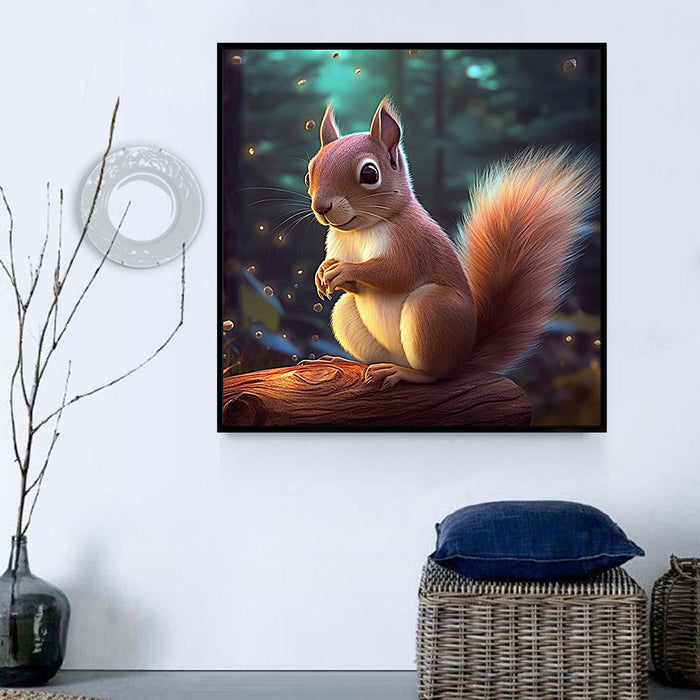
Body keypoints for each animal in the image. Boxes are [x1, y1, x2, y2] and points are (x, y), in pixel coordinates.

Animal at [306, 98, 599, 390]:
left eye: (369, 174)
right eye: (310, 173)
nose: (321, 207)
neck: (360, 231)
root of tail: (463, 357)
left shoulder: (411, 241)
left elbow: (397, 273)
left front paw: (344, 270)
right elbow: (354, 286)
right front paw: (322, 272)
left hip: (432, 311)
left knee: (435, 373)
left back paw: (403, 373)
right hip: (350, 317)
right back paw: (347, 362)